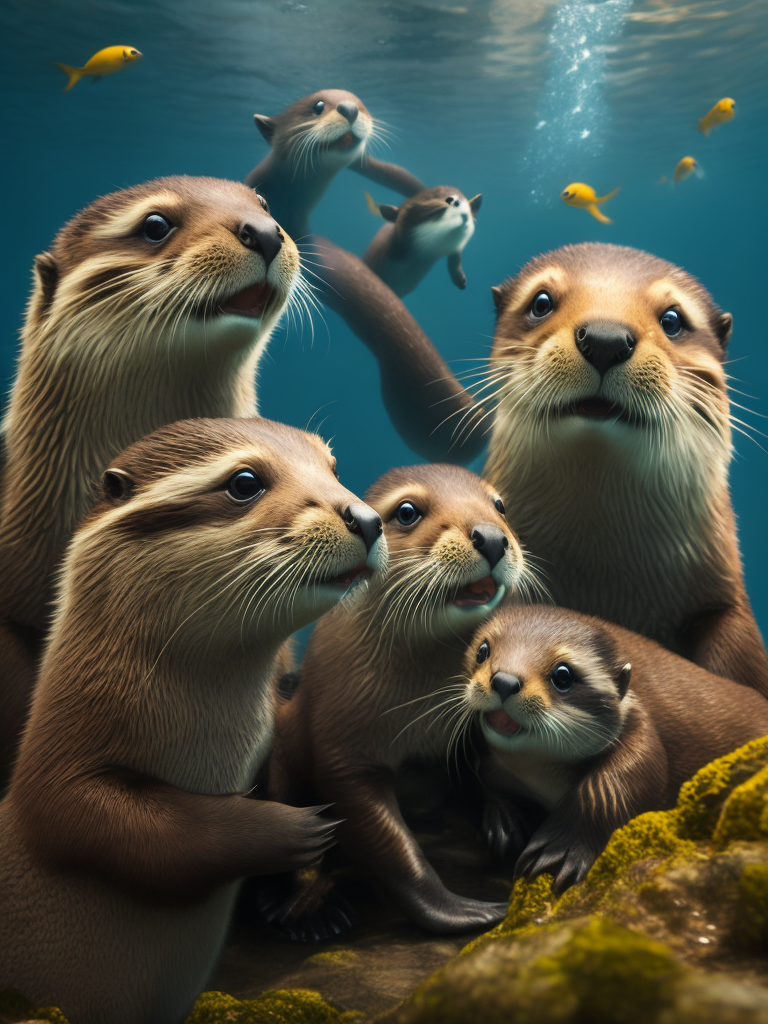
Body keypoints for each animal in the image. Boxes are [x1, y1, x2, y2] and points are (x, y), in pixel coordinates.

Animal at [0, 415, 387, 1024]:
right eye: (245, 481)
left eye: (333, 467)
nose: (367, 518)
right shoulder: (53, 771)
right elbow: (87, 818)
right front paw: (297, 829)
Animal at [269, 463, 536, 935]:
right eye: (408, 511)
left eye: (500, 505)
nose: (491, 536)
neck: (418, 707)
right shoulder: (342, 747)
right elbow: (390, 847)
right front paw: (461, 910)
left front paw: (503, 816)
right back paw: (311, 911)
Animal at [463, 604, 768, 894]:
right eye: (483, 650)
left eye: (563, 675)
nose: (504, 681)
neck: (541, 780)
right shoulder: (492, 766)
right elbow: (488, 781)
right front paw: (503, 820)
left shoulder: (639, 734)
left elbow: (610, 788)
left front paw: (560, 850)